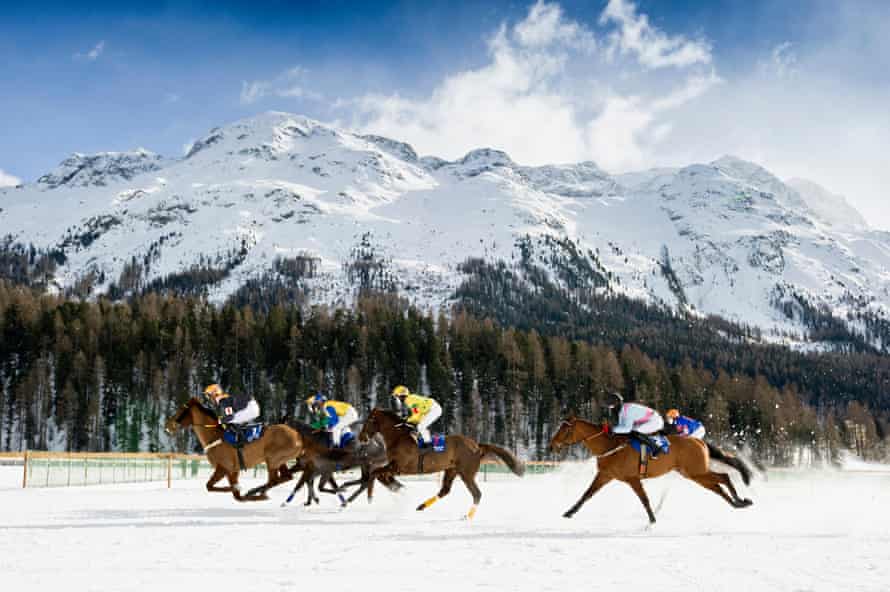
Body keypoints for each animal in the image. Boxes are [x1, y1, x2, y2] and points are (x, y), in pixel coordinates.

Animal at [165, 398, 304, 500]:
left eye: (181, 410)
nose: (168, 426)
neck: (215, 436)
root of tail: (297, 435)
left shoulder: (223, 468)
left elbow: (209, 486)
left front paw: (236, 488)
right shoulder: (233, 471)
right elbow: (236, 496)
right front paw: (238, 490)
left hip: (273, 458)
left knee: (274, 480)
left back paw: (256, 491)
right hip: (279, 460)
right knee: (285, 477)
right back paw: (258, 492)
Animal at [354, 408, 524, 520]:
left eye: (368, 421)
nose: (361, 437)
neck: (398, 437)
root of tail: (477, 445)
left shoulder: (399, 467)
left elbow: (376, 472)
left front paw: (370, 496)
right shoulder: (394, 467)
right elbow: (379, 473)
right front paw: (396, 488)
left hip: (467, 474)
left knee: (477, 494)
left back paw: (467, 516)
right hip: (451, 470)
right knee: (444, 491)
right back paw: (421, 506)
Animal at [548, 416, 748, 524]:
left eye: (565, 428)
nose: (551, 445)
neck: (610, 445)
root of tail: (699, 441)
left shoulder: (632, 479)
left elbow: (644, 499)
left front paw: (652, 521)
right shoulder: (605, 475)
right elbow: (587, 494)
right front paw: (569, 512)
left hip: (696, 472)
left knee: (724, 477)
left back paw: (740, 500)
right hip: (694, 474)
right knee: (718, 486)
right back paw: (737, 503)